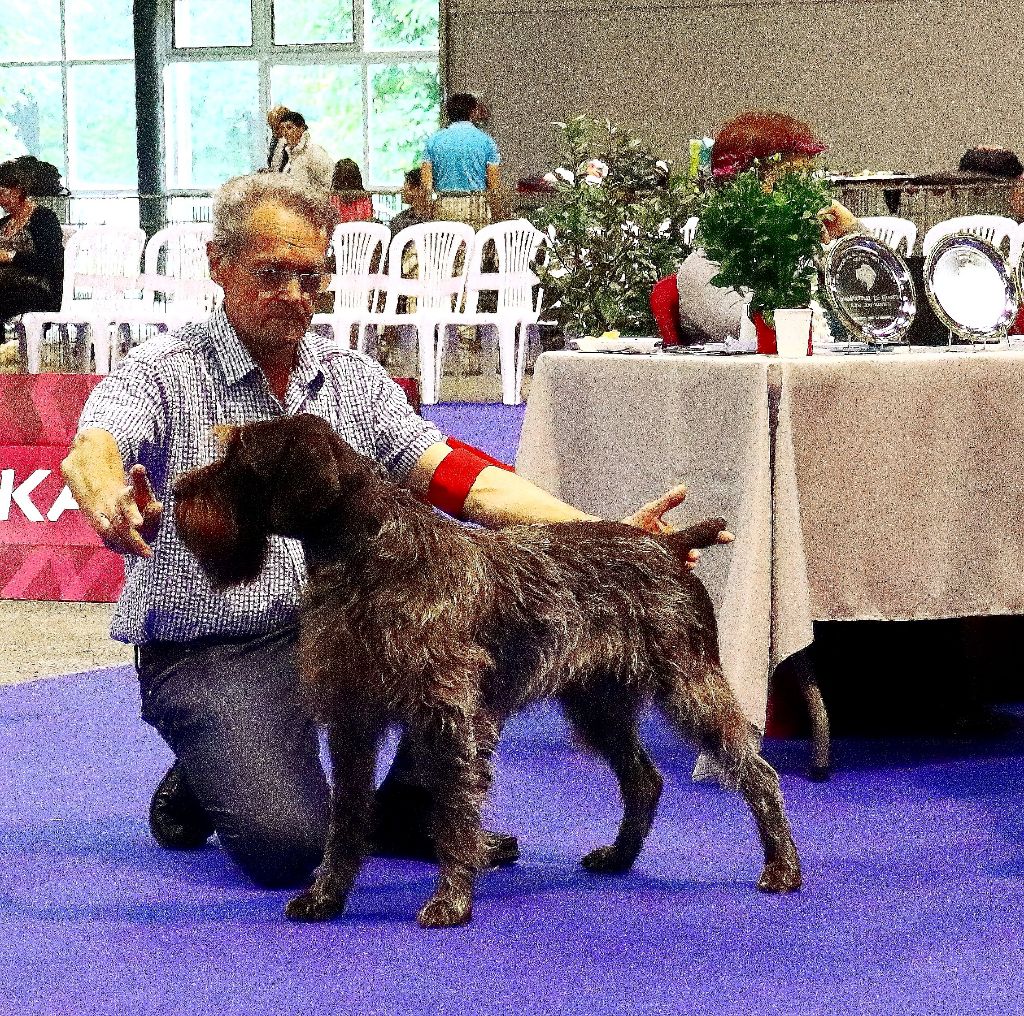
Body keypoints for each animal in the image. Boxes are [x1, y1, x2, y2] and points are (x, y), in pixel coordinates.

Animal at [174, 413, 798, 929]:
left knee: (756, 771)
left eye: (237, 460)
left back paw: (782, 865)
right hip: (599, 705)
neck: (367, 558)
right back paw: (620, 858)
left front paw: (451, 900)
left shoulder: (450, 716)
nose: (179, 491)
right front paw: (326, 896)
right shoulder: (353, 718)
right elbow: (346, 819)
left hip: (688, 686)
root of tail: (665, 547)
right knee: (644, 780)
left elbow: (453, 815)